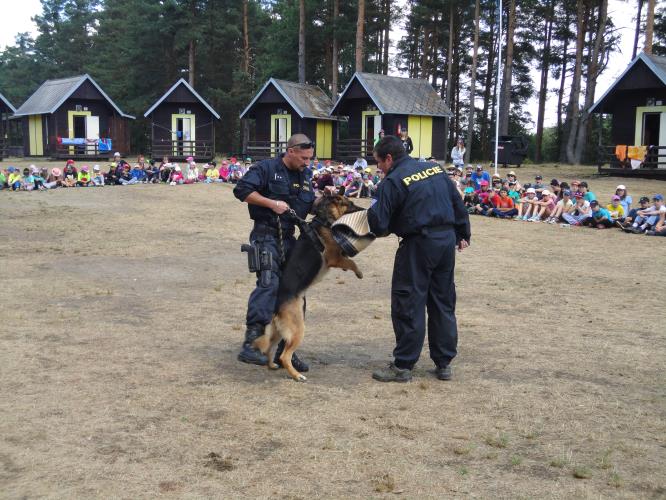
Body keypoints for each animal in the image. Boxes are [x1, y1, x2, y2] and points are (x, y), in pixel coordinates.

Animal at [253, 193, 364, 380]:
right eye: (350, 204)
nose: (364, 209)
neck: (322, 220)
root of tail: (277, 308)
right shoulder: (334, 258)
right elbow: (351, 261)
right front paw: (359, 272)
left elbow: (347, 259)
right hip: (299, 329)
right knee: (284, 355)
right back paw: (297, 375)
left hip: (279, 333)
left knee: (270, 348)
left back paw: (272, 365)